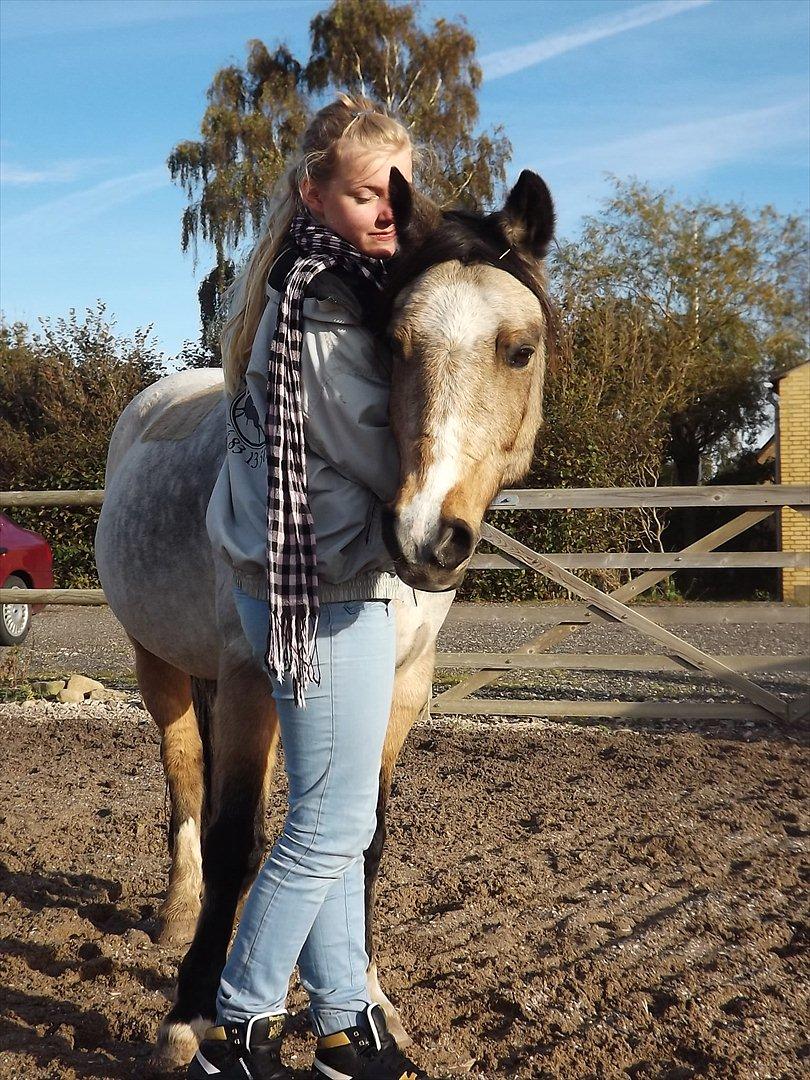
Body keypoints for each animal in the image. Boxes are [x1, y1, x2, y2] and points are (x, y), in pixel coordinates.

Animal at [94, 168, 555, 1073]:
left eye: (518, 348)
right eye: (394, 345)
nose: (424, 535)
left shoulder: (401, 686)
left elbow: (361, 840)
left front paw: (367, 1003)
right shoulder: (249, 677)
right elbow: (237, 841)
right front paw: (193, 1015)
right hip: (159, 663)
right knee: (186, 777)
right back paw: (178, 914)